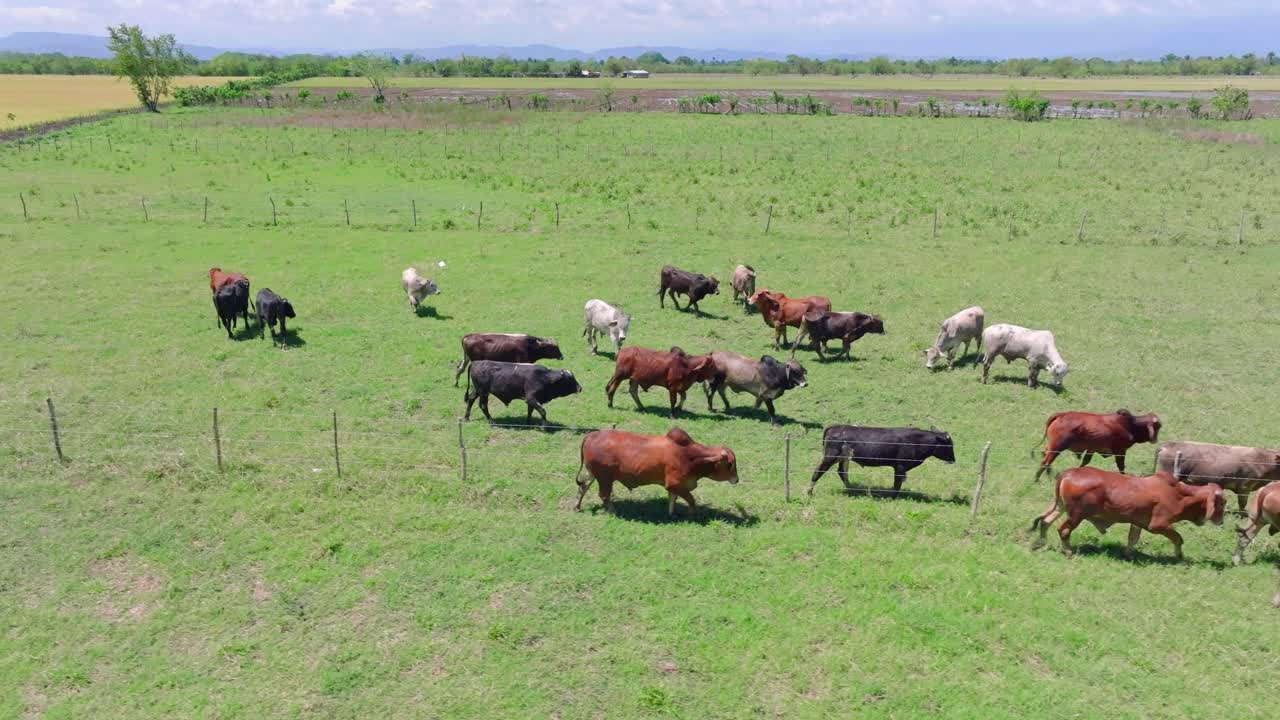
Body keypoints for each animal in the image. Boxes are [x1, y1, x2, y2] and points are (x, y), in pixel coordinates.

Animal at [573, 427, 739, 517]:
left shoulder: (675, 487)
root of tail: (591, 435)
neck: (688, 455)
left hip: (593, 474)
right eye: (730, 464)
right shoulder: (676, 484)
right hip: (605, 478)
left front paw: (672, 514)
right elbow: (691, 500)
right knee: (603, 495)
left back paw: (577, 506)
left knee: (583, 487)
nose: (736, 479)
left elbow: (673, 499)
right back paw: (614, 511)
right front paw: (692, 514)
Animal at [808, 425, 955, 495]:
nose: (953, 460)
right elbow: (897, 484)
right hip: (830, 456)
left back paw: (852, 489)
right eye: (949, 445)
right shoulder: (900, 466)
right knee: (818, 471)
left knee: (842, 472)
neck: (916, 441)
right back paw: (809, 492)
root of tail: (835, 426)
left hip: (843, 458)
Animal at [1030, 467, 1224, 560]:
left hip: (1061, 507)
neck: (1179, 494)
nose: (1221, 521)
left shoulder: (1137, 523)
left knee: (1045, 521)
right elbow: (1178, 539)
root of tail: (1069, 472)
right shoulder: (1158, 525)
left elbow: (1133, 539)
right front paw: (1179, 556)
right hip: (1076, 515)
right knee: (1063, 530)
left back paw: (1040, 543)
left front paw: (1129, 554)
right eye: (1222, 503)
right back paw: (1068, 551)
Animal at [1032, 409, 1162, 482]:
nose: (1156, 440)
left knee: (1044, 455)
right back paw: (1036, 479)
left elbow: (1085, 462)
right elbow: (1121, 466)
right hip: (1056, 448)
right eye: (1157, 427)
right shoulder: (1120, 451)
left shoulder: (1091, 450)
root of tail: (1061, 415)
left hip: (1051, 447)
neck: (1131, 425)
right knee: (1045, 462)